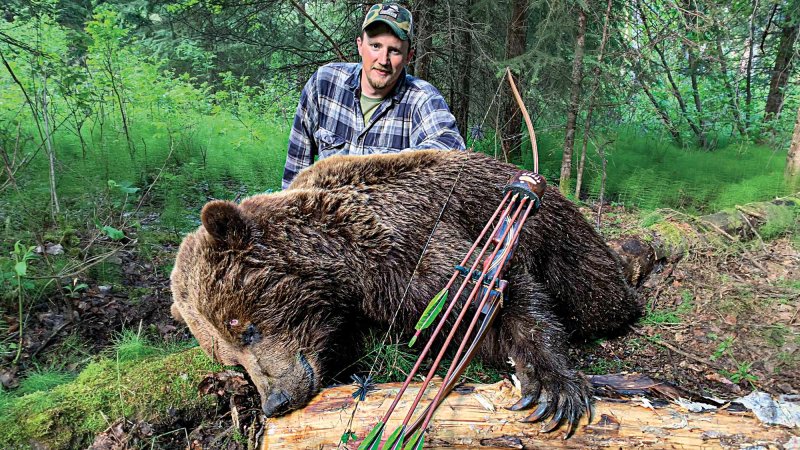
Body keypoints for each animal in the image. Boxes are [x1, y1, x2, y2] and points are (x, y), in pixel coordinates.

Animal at [172, 150, 640, 432]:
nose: (276, 401)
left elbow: (493, 294)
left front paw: (552, 388)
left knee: (600, 296)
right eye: (229, 359)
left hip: (566, 245)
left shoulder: (414, 245)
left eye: (241, 325)